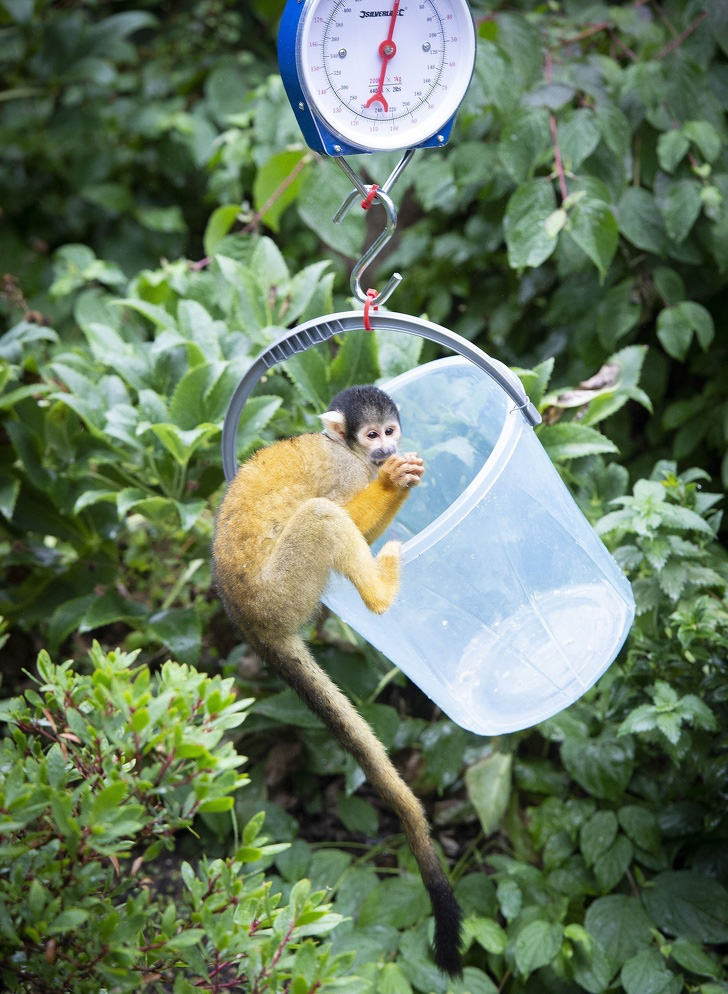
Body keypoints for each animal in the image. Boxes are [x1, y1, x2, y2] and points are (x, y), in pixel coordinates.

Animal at [212, 384, 460, 972]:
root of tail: (252, 624)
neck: (346, 450)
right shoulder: (347, 472)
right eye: (371, 436)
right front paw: (392, 482)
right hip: (285, 588)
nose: (386, 449)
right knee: (323, 518)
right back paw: (380, 592)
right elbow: (348, 514)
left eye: (390, 430)